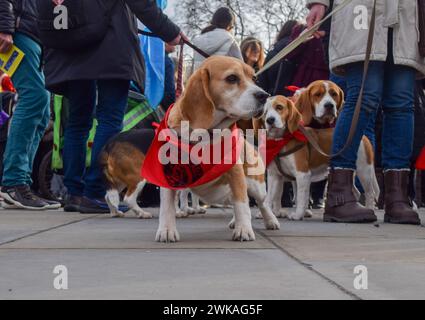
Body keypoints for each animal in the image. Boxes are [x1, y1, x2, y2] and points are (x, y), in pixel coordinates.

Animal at [99, 57, 278, 242]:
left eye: (254, 78)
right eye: (232, 78)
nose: (264, 96)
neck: (203, 137)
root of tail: (109, 143)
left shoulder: (235, 173)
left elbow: (242, 204)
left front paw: (243, 229)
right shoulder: (170, 175)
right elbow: (168, 206)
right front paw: (167, 230)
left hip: (255, 185)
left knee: (261, 203)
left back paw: (270, 220)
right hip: (132, 178)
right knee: (124, 197)